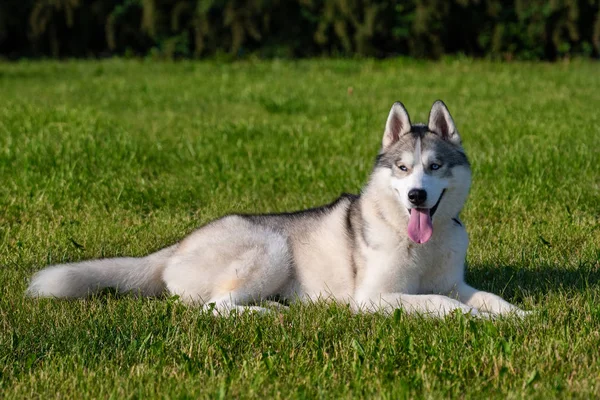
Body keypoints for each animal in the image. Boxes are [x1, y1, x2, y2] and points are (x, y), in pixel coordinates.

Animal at [25, 101, 528, 318]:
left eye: (434, 166)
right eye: (403, 168)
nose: (416, 197)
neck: (421, 242)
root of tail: (174, 248)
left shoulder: (455, 281)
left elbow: (484, 297)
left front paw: (517, 317)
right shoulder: (373, 298)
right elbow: (441, 304)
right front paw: (472, 319)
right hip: (269, 248)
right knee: (214, 308)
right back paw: (268, 314)